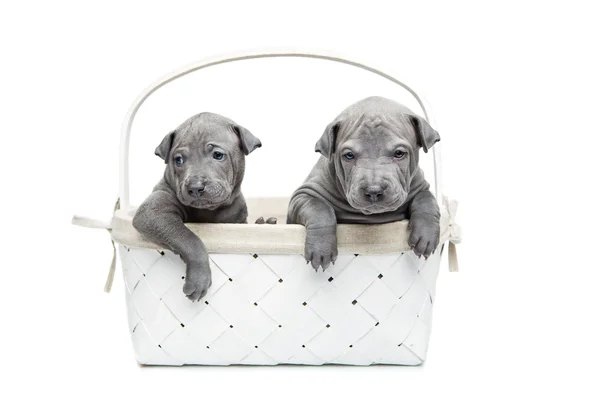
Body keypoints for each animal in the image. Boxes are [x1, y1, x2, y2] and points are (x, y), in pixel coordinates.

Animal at [134, 111, 260, 300]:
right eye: (178, 160)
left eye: (218, 155)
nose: (195, 187)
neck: (208, 210)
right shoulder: (152, 212)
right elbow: (189, 238)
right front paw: (199, 278)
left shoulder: (238, 221)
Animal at [286, 97, 440, 272]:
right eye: (349, 155)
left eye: (399, 153)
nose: (374, 191)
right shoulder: (304, 194)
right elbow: (320, 208)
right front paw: (321, 248)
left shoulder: (420, 187)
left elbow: (426, 200)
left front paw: (426, 236)